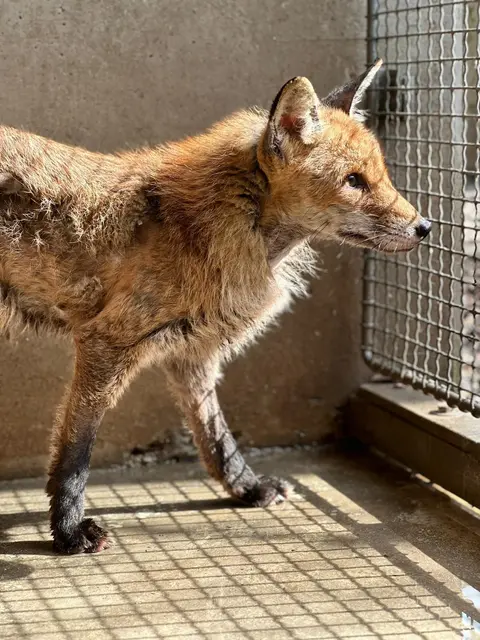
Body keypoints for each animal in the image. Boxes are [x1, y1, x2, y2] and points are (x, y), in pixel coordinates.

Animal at [0, 59, 431, 554]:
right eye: (353, 181)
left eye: (382, 175)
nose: (425, 227)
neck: (216, 227)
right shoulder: (105, 342)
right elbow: (76, 451)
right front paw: (68, 531)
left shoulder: (192, 353)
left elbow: (216, 436)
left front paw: (247, 488)